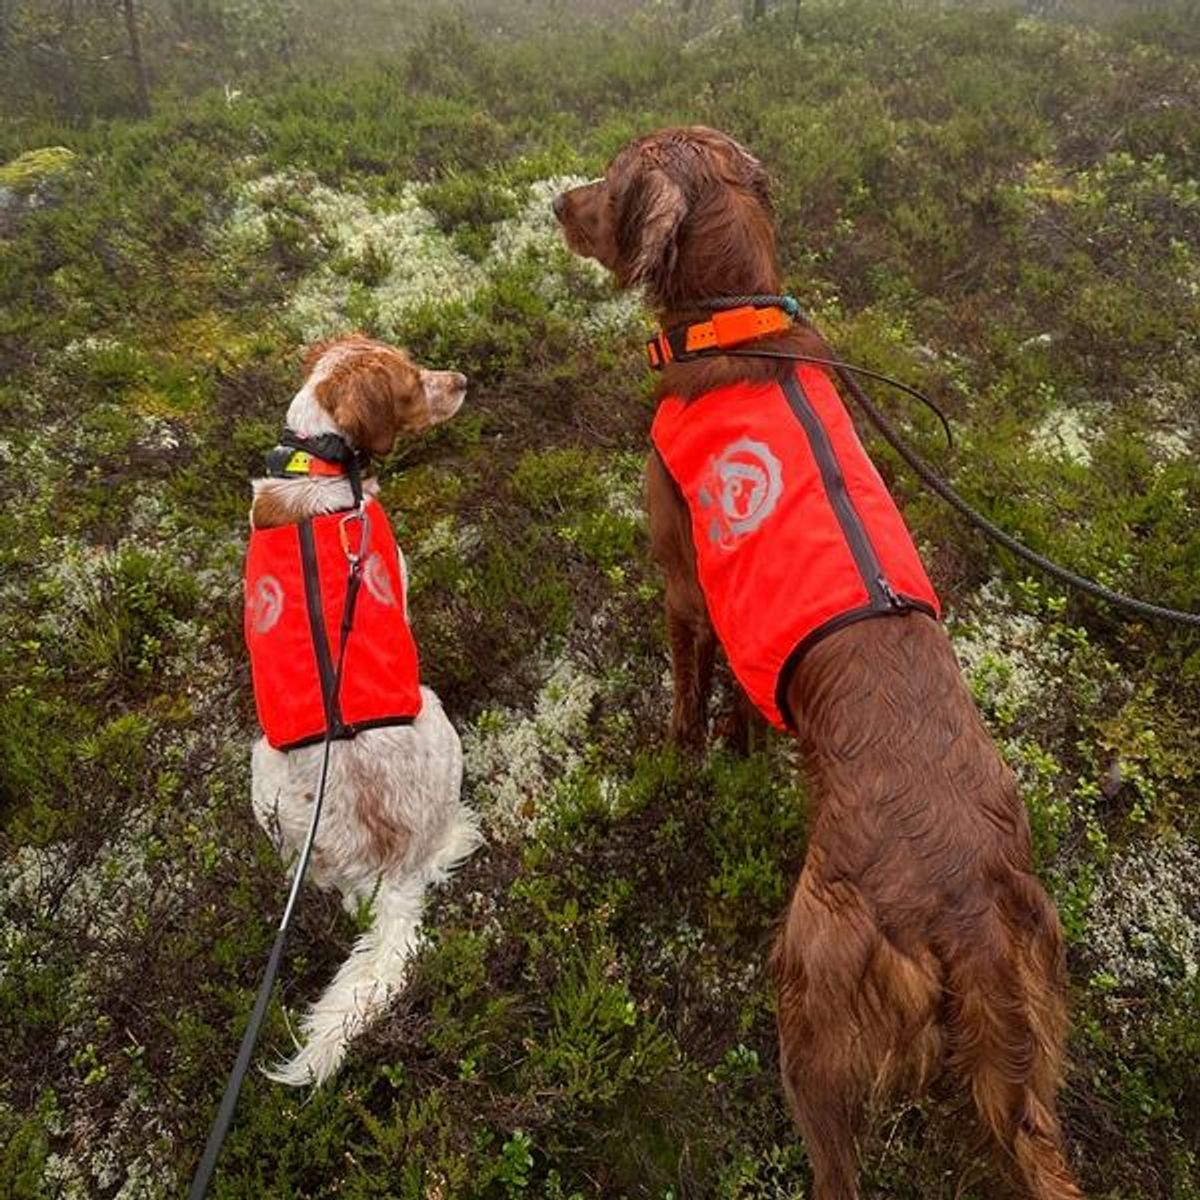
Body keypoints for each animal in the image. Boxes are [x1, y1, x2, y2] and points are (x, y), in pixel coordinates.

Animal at [556, 131, 1084, 1200]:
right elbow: (745, 710)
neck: (738, 328)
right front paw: (741, 751)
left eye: (613, 177)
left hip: (810, 1003)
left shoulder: (683, 584)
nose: (555, 203)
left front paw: (678, 758)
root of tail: (967, 914)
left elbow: (688, 697)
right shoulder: (740, 618)